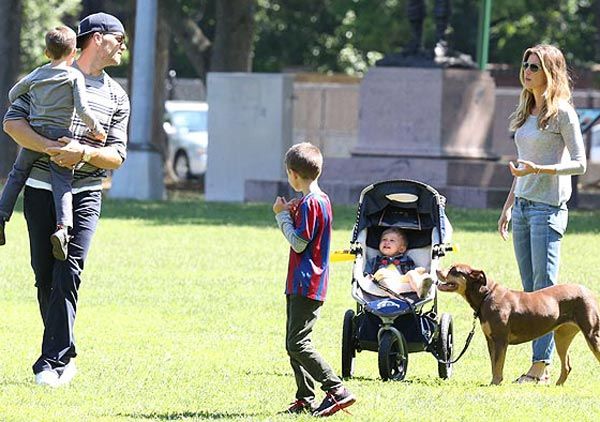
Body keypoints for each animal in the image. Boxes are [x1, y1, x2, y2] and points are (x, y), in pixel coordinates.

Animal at [436, 264, 600, 386]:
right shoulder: (491, 340)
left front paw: (495, 383)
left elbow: (498, 364)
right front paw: (494, 382)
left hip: (592, 334)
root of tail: (590, 292)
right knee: (566, 365)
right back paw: (557, 386)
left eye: (454, 270)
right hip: (562, 336)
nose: (437, 270)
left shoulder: (501, 340)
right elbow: (493, 364)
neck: (486, 296)